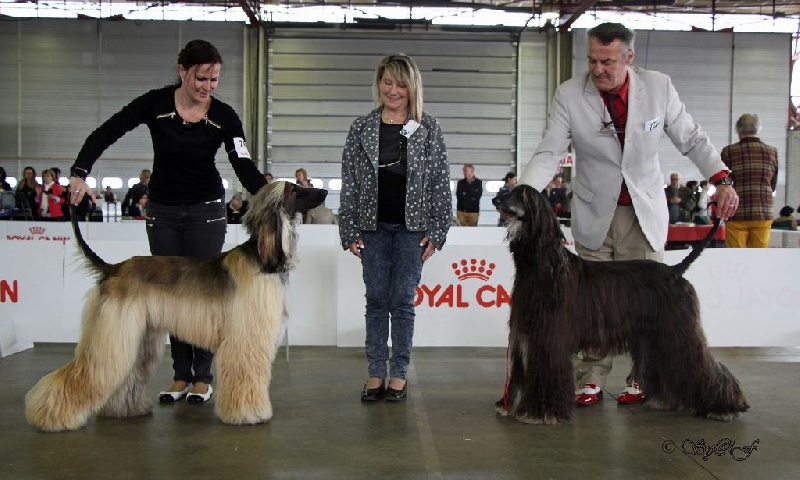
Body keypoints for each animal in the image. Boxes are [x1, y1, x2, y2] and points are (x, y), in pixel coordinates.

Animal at [25, 181, 327, 432]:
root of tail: (113, 269)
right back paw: (49, 416)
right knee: (87, 370)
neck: (261, 259)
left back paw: (124, 409)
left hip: (137, 335)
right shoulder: (245, 339)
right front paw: (248, 414)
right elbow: (246, 376)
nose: (325, 191)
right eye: (296, 189)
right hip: (113, 331)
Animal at [492, 184, 749, 425]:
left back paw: (724, 406)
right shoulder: (526, 333)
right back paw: (667, 400)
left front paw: (543, 412)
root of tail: (676, 271)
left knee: (700, 363)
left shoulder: (549, 336)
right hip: (657, 335)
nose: (495, 199)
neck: (544, 266)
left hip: (677, 329)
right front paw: (511, 405)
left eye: (520, 195)